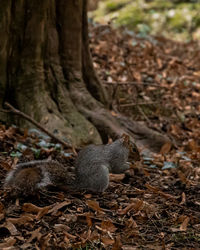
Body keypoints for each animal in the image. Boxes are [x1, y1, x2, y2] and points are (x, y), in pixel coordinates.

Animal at [3, 134, 141, 196]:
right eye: (134, 149)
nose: (140, 159)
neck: (121, 147)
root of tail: (80, 183)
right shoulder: (116, 157)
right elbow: (118, 168)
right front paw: (135, 166)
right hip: (101, 173)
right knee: (96, 189)